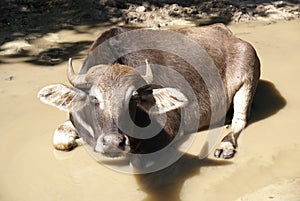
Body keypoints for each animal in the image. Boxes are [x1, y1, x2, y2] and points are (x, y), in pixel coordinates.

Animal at [38, 23, 260, 166]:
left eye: (133, 99)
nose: (113, 142)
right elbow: (59, 139)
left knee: (240, 121)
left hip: (247, 79)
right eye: (94, 98)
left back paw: (225, 145)